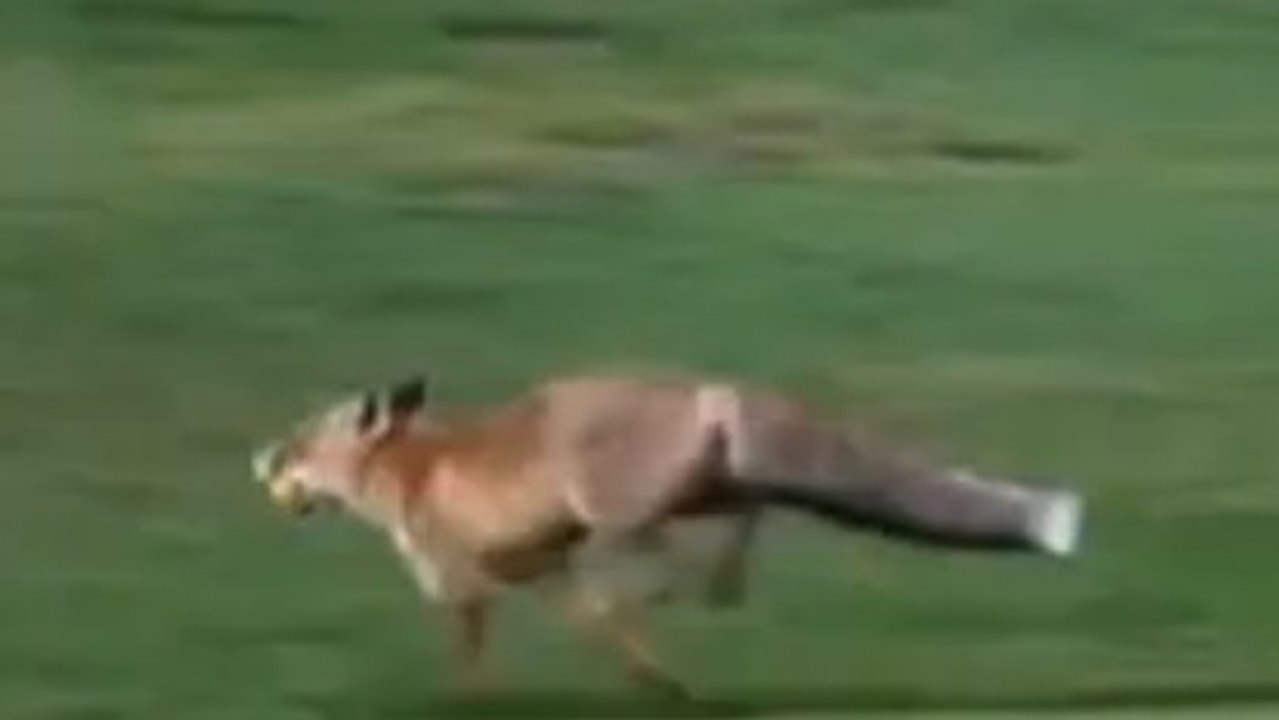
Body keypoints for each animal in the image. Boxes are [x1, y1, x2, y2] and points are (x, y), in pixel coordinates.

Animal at [251, 372, 1084, 698]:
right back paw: (715, 590)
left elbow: (472, 661)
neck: (413, 470)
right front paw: (660, 683)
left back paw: (683, 589)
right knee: (743, 524)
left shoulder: (462, 578)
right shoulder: (538, 573)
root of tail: (713, 391)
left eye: (297, 444)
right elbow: (592, 633)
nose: (259, 462)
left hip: (615, 509)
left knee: (657, 558)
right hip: (708, 494)